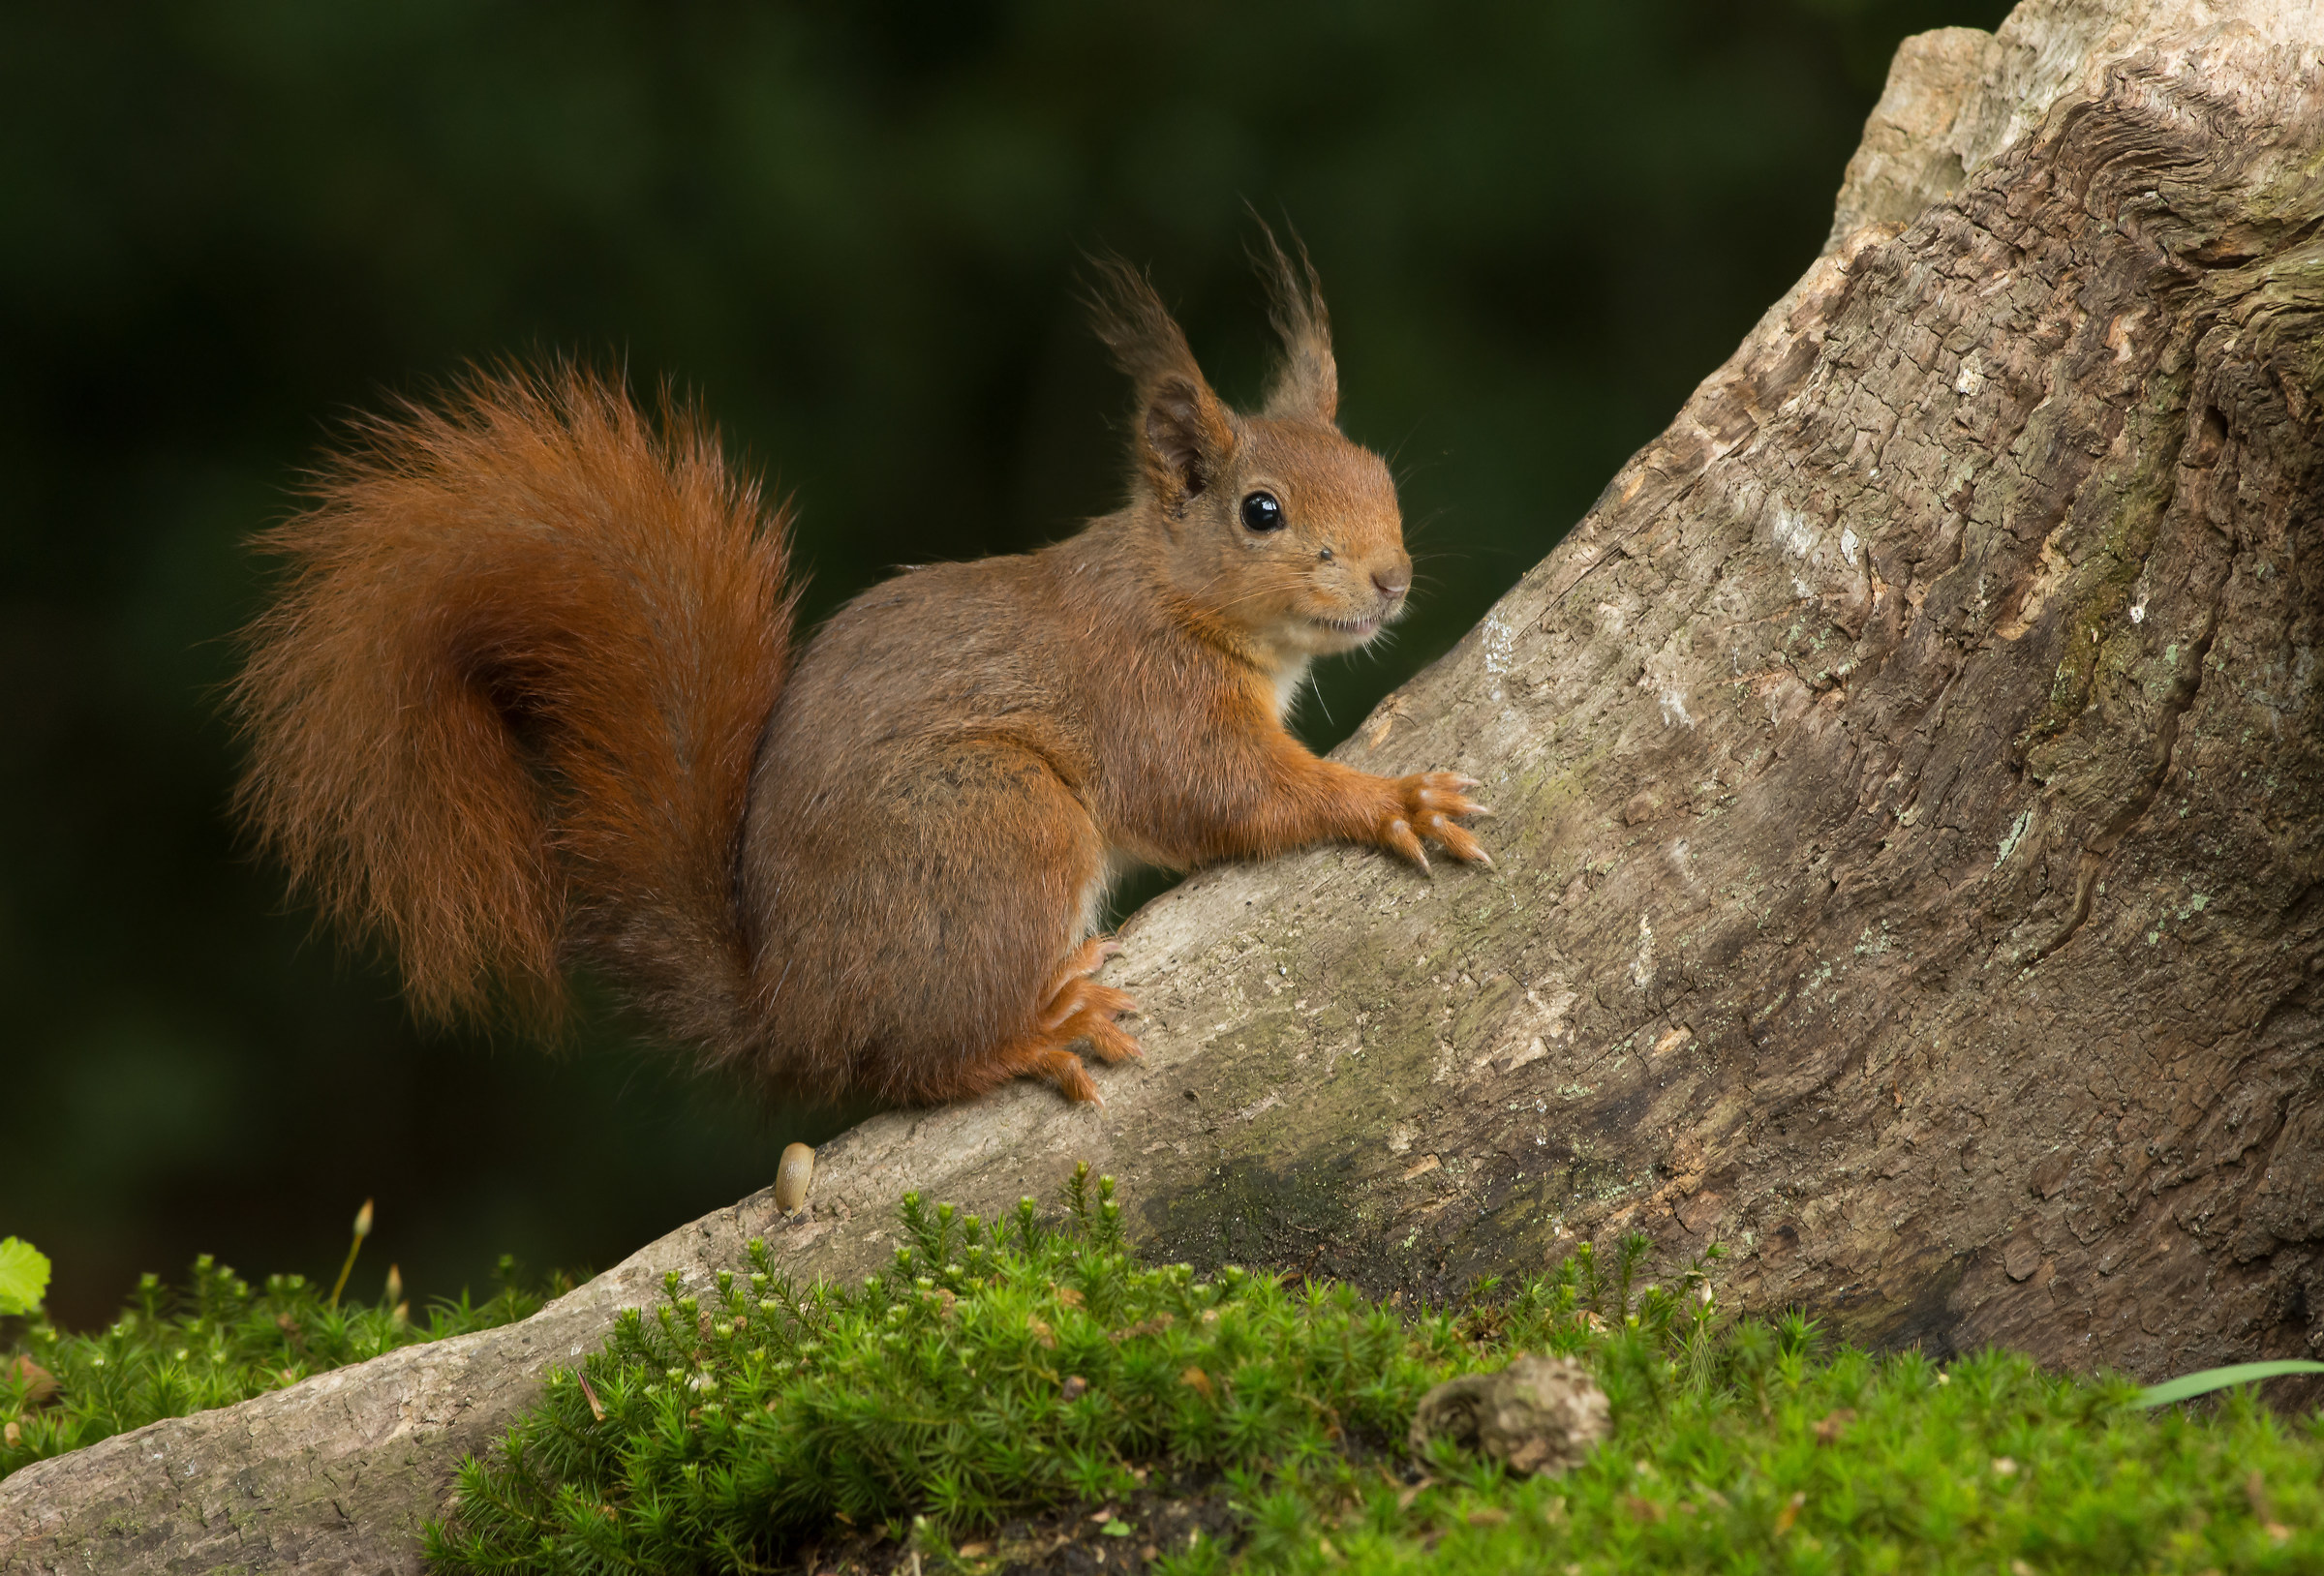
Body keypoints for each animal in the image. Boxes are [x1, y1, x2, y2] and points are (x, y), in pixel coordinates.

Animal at [231, 237, 1490, 1107]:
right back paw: (1030, 1032)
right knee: (911, 1067)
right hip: (994, 819)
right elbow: (1234, 795)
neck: (1170, 591)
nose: (1390, 579)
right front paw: (1391, 798)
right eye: (1261, 512)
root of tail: (788, 1013)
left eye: (1377, 469)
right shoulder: (1150, 700)